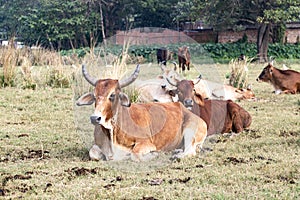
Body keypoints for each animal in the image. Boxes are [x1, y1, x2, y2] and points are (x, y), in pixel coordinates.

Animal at [76, 64, 207, 161]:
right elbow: (93, 153)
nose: (95, 118)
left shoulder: (146, 143)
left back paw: (177, 155)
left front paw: (153, 154)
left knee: (191, 151)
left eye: (112, 95)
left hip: (190, 131)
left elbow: (134, 154)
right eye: (94, 96)